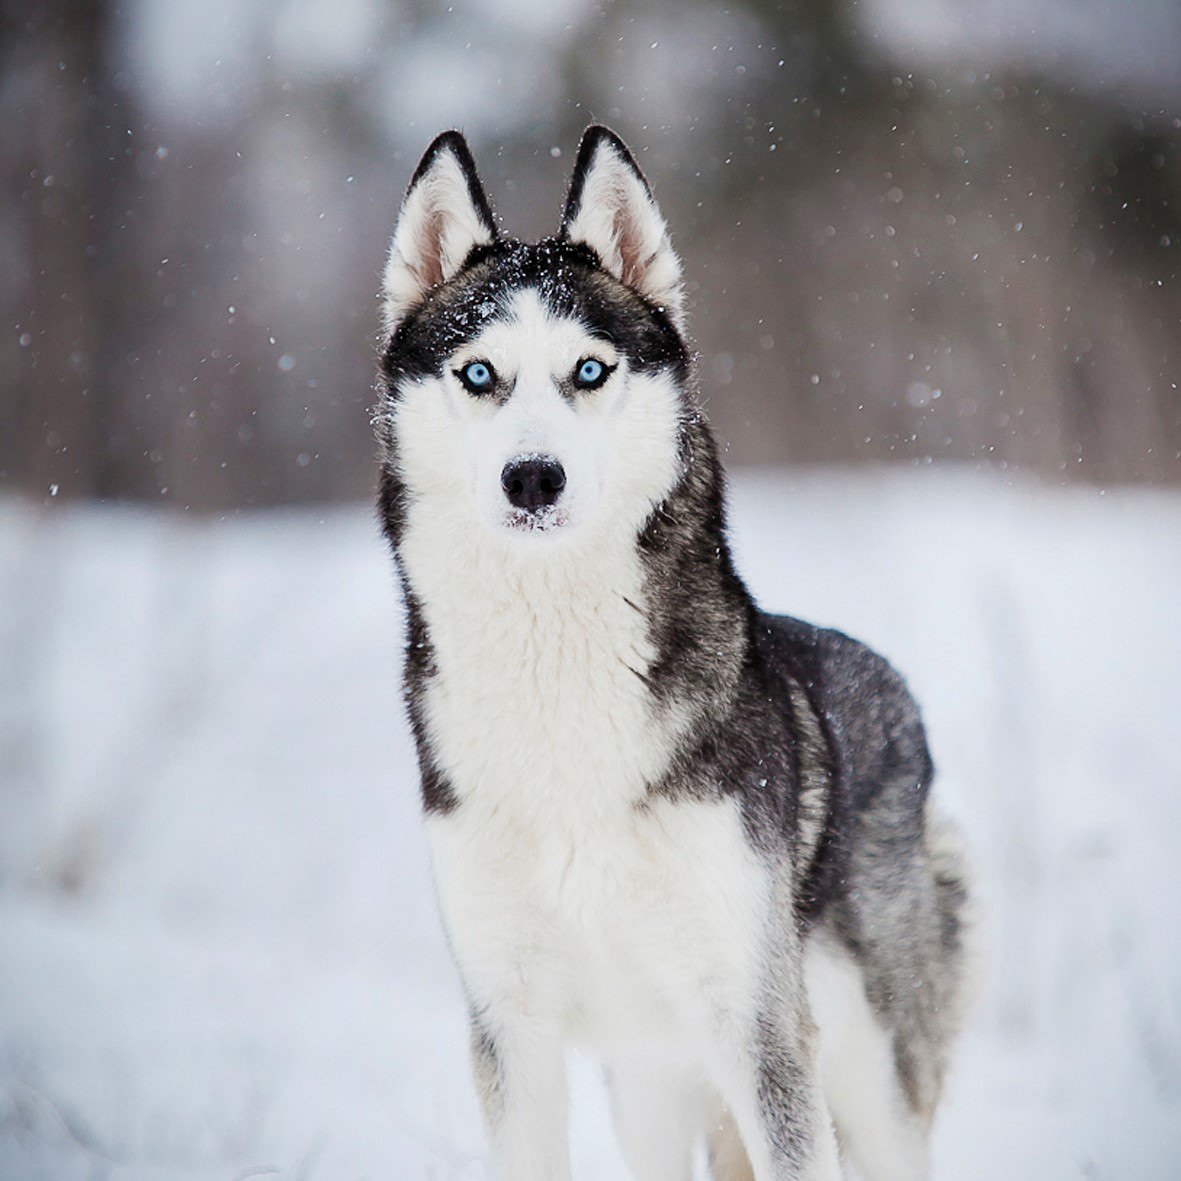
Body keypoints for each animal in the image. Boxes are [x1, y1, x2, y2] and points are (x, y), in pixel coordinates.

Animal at [373, 129, 973, 1181]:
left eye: (590, 370)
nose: (533, 477)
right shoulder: (511, 1027)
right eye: (478, 375)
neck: (556, 672)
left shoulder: (758, 1028)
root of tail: (898, 697)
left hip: (867, 1083)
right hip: (650, 1078)